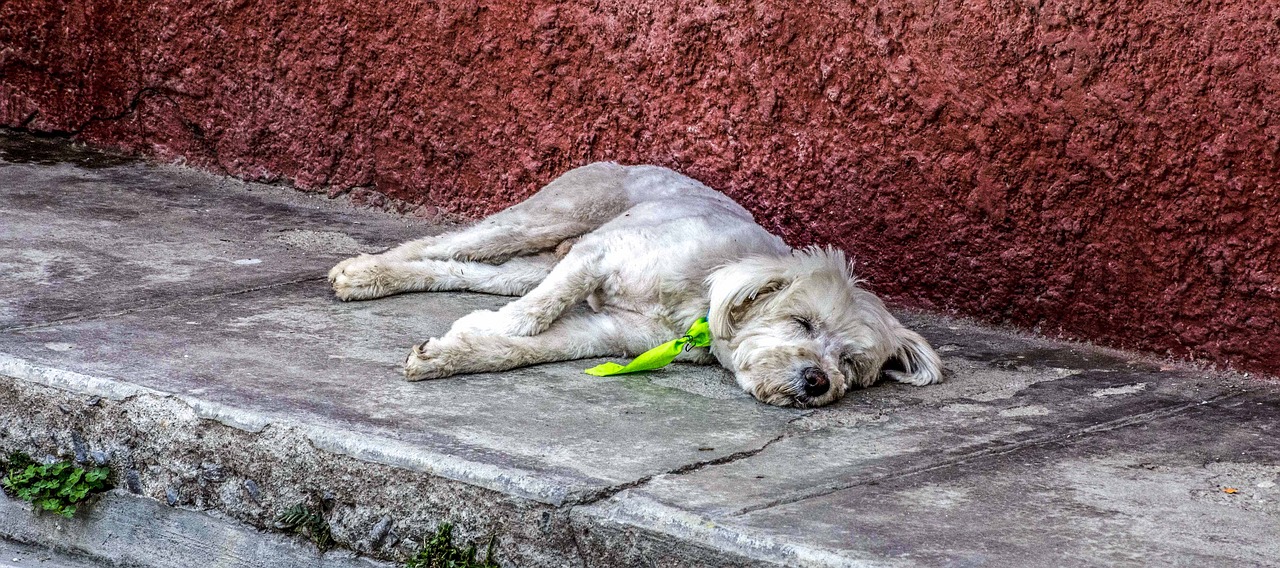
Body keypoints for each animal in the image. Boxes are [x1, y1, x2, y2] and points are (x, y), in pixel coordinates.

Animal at [327, 161, 942, 406]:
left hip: (532, 261)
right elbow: (533, 317)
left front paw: (453, 351)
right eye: (801, 321)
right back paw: (365, 271)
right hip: (552, 219)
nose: (818, 383)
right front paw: (503, 327)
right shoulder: (599, 256)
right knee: (440, 244)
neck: (699, 306)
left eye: (852, 366)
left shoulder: (609, 332)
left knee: (461, 270)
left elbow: (523, 348)